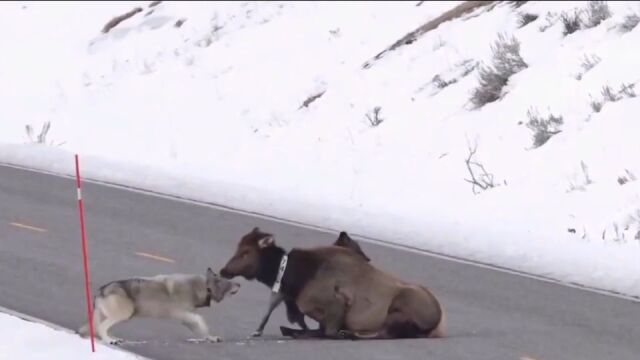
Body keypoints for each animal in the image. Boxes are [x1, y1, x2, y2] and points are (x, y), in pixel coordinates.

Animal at [77, 268, 240, 344]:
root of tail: (101, 290)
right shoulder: (182, 314)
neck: (202, 288)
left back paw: (113, 338)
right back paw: (110, 340)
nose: (240, 284)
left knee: (99, 328)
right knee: (101, 328)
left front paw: (212, 338)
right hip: (126, 313)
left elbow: (202, 330)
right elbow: (200, 320)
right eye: (229, 282)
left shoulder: (187, 319)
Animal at [220, 228, 444, 340]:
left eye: (245, 252)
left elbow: (326, 332)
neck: (296, 278)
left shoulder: (335, 303)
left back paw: (351, 334)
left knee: (385, 332)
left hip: (401, 306)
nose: (224, 270)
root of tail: (438, 321)